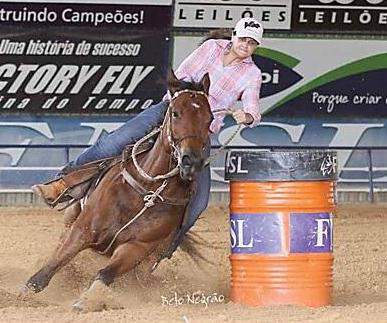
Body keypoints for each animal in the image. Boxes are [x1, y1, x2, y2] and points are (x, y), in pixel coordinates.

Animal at [20, 70, 214, 312]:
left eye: (210, 119)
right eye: (176, 113)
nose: (192, 161)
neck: (147, 192)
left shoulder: (137, 248)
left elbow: (105, 275)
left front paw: (87, 301)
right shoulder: (83, 230)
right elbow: (50, 268)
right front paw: (24, 294)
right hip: (71, 216)